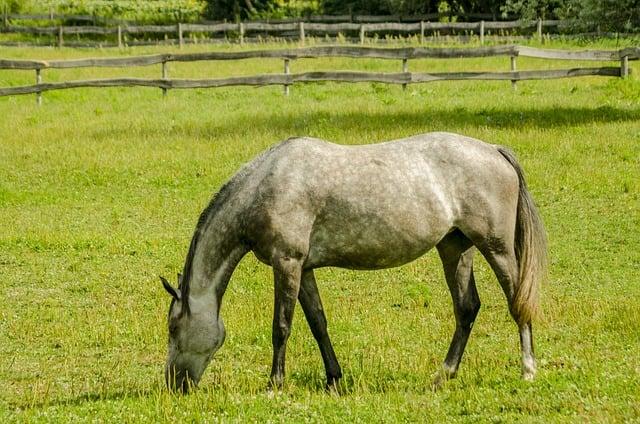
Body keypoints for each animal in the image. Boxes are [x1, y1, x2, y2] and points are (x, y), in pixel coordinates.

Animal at [159, 131, 544, 392]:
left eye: (174, 328)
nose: (174, 384)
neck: (268, 185)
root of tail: (493, 150)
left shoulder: (287, 263)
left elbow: (281, 326)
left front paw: (274, 384)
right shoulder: (304, 268)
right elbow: (318, 323)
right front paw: (333, 379)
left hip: (495, 247)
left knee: (517, 302)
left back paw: (528, 370)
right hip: (455, 247)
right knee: (466, 309)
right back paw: (443, 375)